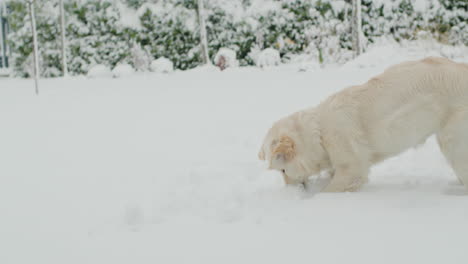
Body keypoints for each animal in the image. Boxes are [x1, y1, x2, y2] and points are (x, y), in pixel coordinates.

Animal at [258, 57, 468, 192]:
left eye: (283, 170)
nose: (290, 193)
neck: (320, 133)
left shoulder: (352, 169)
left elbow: (331, 189)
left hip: (453, 143)